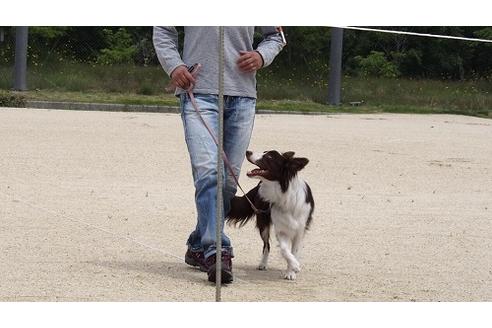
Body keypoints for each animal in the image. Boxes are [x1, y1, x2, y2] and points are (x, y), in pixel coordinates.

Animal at [227, 151, 316, 280]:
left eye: (269, 156)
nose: (248, 152)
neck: (284, 196)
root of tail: (259, 184)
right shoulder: (281, 229)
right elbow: (284, 249)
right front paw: (294, 265)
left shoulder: (299, 230)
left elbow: (294, 251)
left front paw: (291, 272)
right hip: (263, 222)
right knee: (266, 245)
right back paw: (263, 264)